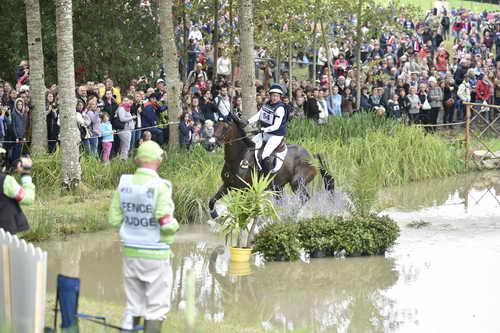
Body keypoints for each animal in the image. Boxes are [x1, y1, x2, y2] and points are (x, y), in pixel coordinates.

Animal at [208, 114, 336, 218]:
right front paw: (215, 215)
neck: (238, 157)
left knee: (304, 198)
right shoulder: (227, 185)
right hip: (278, 187)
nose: (210, 145)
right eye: (214, 126)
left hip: (297, 183)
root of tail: (310, 155)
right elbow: (212, 201)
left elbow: (243, 207)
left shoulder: (244, 189)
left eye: (225, 128)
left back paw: (292, 214)